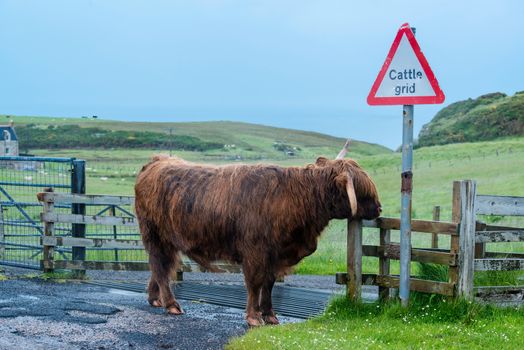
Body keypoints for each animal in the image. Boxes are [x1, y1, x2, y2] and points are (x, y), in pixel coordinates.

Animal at [135, 144, 380, 326]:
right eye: (363, 190)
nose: (379, 208)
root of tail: (157, 161)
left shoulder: (276, 255)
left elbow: (269, 283)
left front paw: (270, 315)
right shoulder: (255, 251)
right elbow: (255, 283)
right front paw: (253, 317)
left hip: (167, 241)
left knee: (162, 267)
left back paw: (155, 299)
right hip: (155, 236)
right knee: (160, 267)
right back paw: (171, 304)